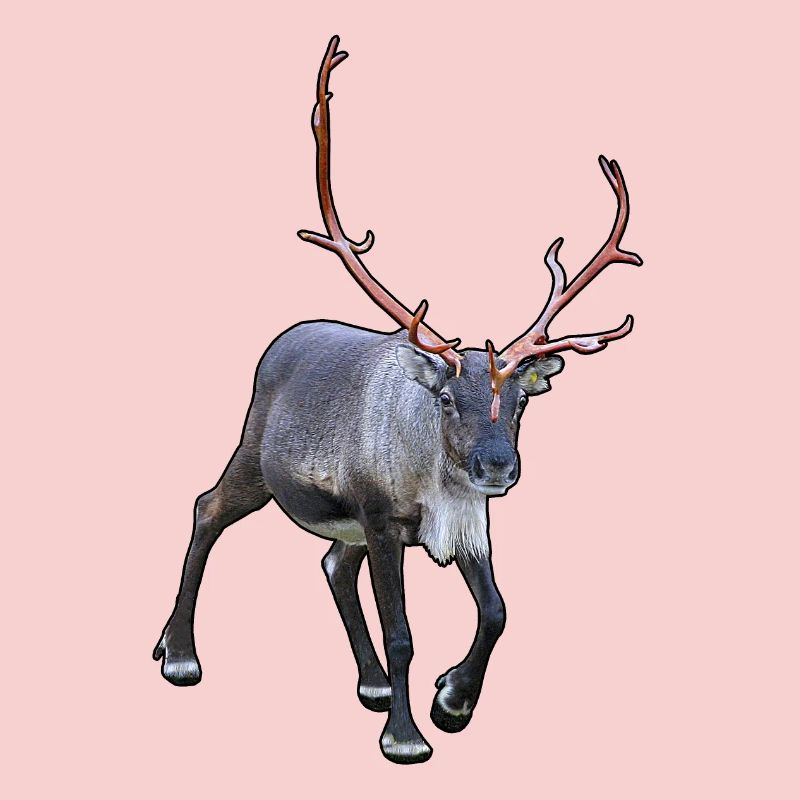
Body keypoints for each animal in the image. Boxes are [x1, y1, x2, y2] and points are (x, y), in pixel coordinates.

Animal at [153, 36, 643, 764]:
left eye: (522, 403)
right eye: (444, 399)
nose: (497, 466)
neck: (436, 480)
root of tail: (284, 338)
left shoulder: (469, 524)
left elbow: (497, 611)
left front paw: (452, 702)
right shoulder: (382, 519)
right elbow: (404, 632)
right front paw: (407, 737)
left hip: (341, 518)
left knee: (332, 561)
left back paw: (370, 683)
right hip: (254, 456)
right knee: (207, 509)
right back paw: (180, 653)